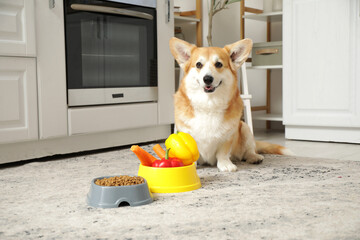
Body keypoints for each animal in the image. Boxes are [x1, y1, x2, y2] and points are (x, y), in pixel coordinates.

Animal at [169, 37, 292, 172]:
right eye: (198, 65)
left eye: (218, 64)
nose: (207, 79)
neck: (209, 103)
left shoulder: (228, 136)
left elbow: (223, 152)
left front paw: (225, 165)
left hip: (244, 128)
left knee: (249, 150)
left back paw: (254, 157)